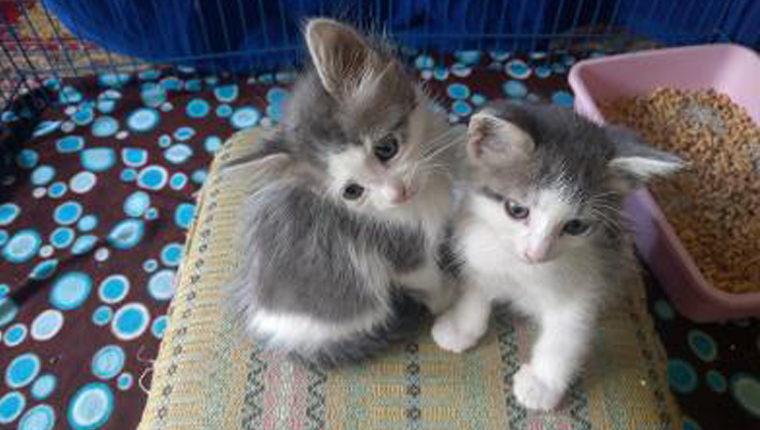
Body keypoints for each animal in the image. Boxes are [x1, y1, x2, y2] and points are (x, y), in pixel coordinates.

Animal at [226, 20, 460, 368]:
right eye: (352, 191)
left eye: (386, 148)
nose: (397, 193)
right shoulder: (398, 250)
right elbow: (426, 278)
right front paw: (447, 296)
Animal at [434, 101, 684, 410]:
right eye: (516, 210)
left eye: (575, 226)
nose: (536, 253)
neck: (523, 272)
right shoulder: (476, 247)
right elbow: (476, 288)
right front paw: (461, 327)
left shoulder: (591, 278)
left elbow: (567, 334)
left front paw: (542, 384)